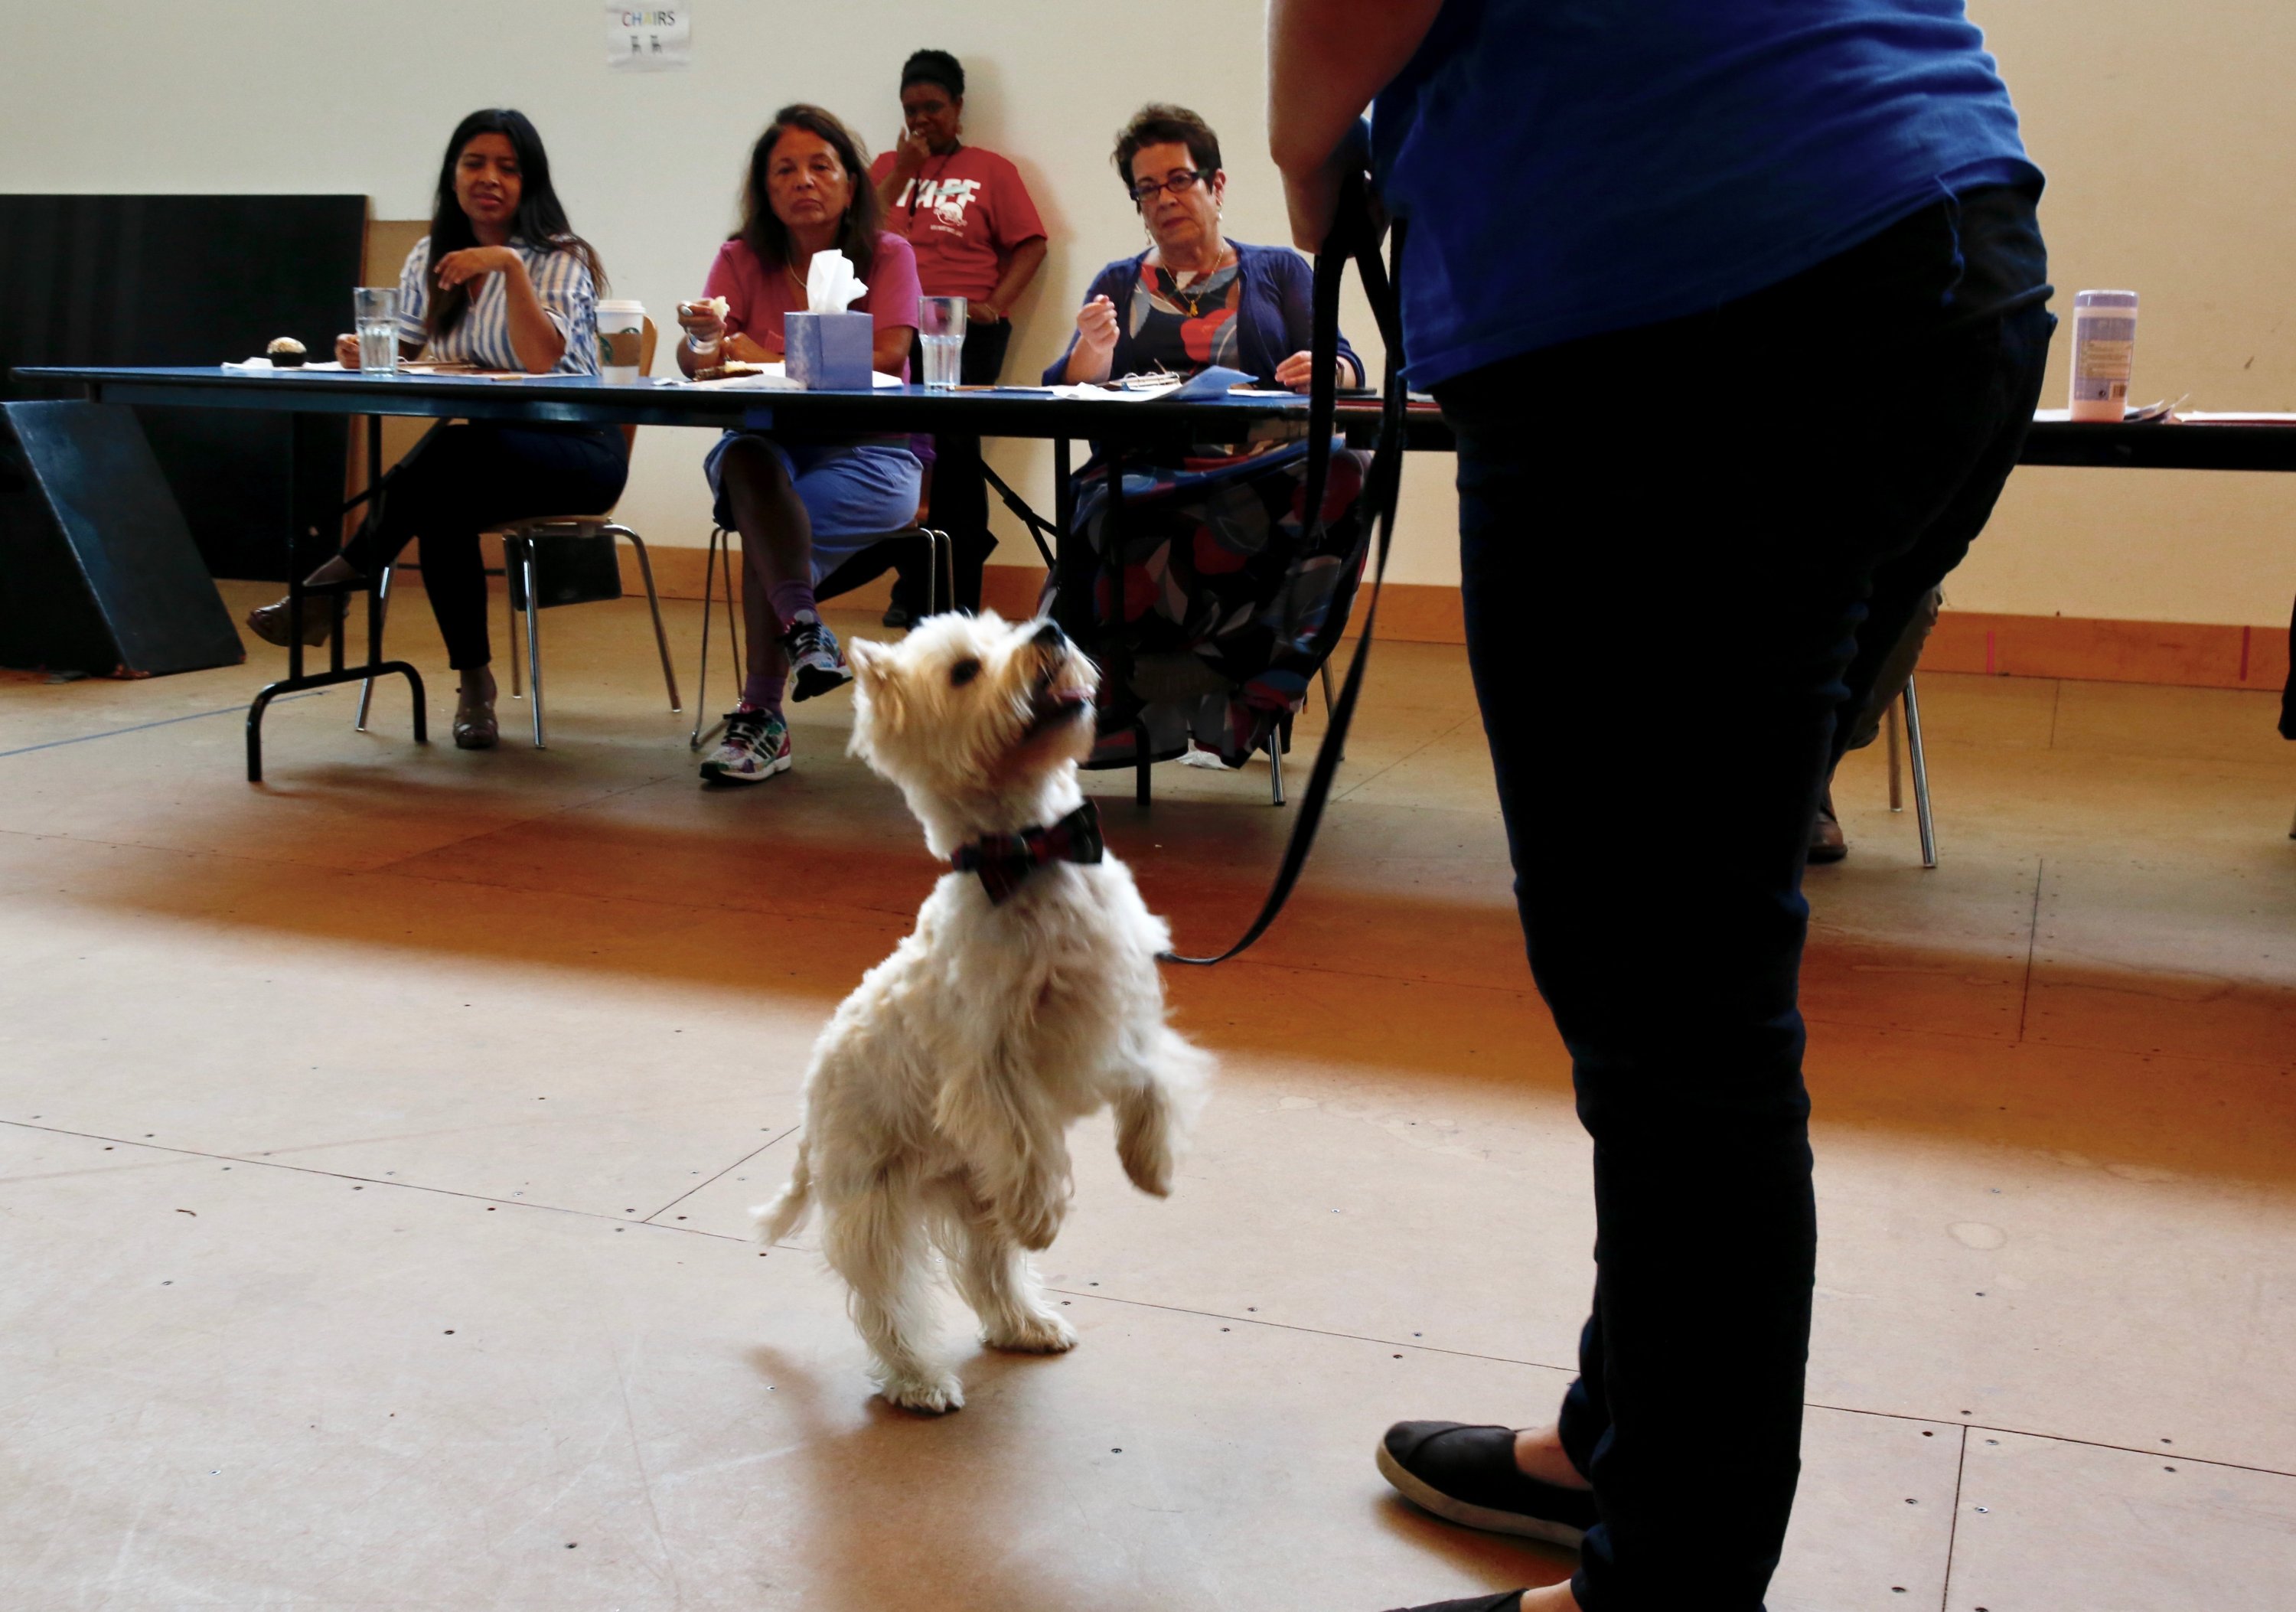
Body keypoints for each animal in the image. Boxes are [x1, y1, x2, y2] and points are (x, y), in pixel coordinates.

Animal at [758, 611, 1221, 1424]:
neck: (1034, 854)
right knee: (888, 1304)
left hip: (971, 1195)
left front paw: (1151, 1162)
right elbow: (1028, 1140)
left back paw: (1027, 1325)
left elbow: (1151, 1081)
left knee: (988, 1272)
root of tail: (809, 1114)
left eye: (1005, 629)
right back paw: (919, 1381)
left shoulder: (1122, 1004)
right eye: (964, 671)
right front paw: (1045, 1213)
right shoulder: (991, 1058)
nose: (1053, 629)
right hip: (878, 1205)